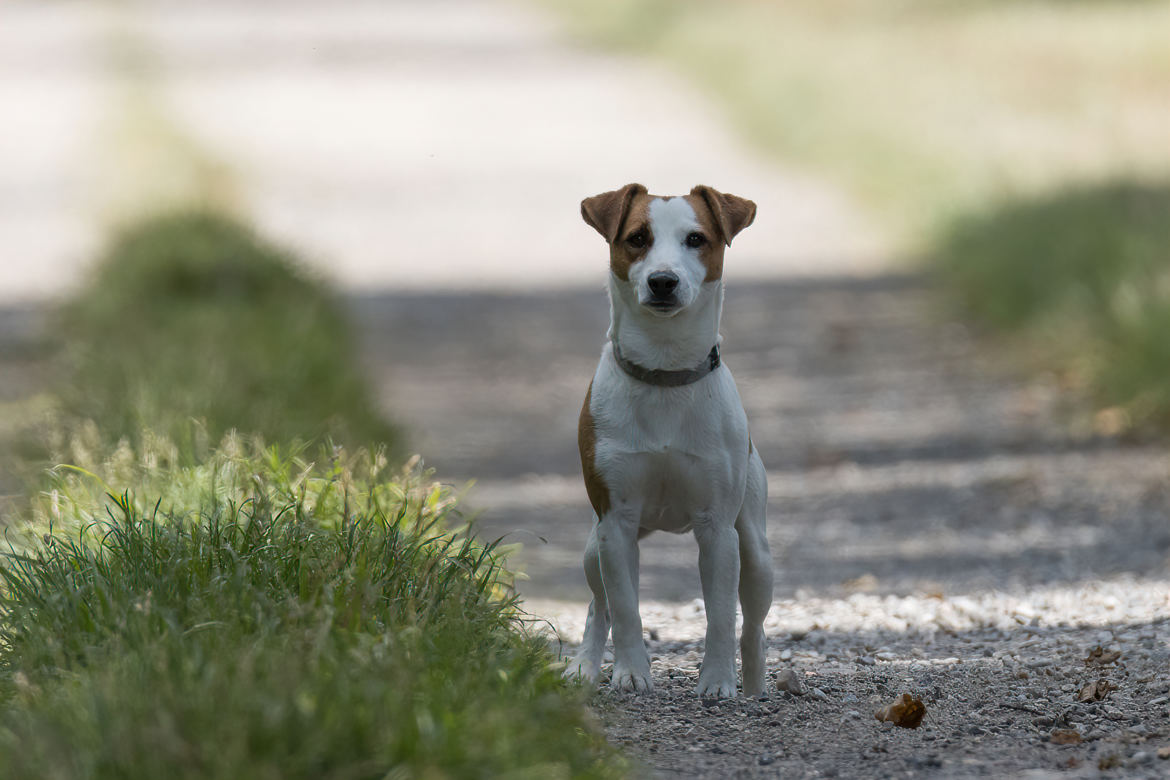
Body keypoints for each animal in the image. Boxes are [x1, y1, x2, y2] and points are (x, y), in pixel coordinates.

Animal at [568, 184, 776, 701]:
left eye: (696, 239)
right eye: (637, 238)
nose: (663, 281)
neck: (665, 374)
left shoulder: (718, 528)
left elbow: (721, 616)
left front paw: (718, 681)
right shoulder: (616, 523)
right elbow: (624, 610)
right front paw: (630, 673)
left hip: (756, 548)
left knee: (753, 626)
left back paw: (755, 686)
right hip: (592, 548)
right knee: (597, 606)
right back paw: (584, 666)